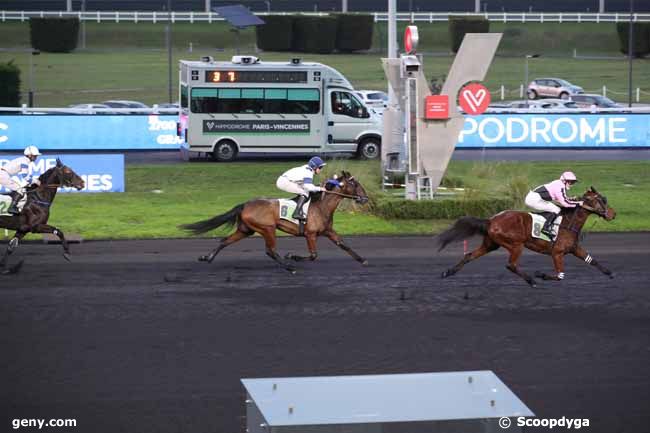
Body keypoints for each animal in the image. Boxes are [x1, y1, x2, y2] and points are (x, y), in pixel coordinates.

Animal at [180, 170, 368, 272]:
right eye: (355, 184)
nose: (365, 199)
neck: (321, 206)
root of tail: (245, 205)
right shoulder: (310, 234)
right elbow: (313, 255)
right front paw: (293, 256)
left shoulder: (327, 231)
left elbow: (343, 244)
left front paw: (362, 260)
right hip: (267, 228)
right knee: (270, 250)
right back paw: (290, 267)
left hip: (246, 229)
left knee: (225, 241)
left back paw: (207, 257)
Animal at [436, 186, 612, 286]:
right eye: (602, 200)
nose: (613, 214)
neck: (568, 223)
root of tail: (492, 220)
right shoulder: (557, 252)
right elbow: (560, 276)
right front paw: (540, 275)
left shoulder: (574, 248)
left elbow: (591, 260)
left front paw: (609, 272)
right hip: (515, 245)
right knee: (511, 265)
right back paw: (531, 280)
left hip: (490, 244)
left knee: (469, 256)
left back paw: (448, 272)